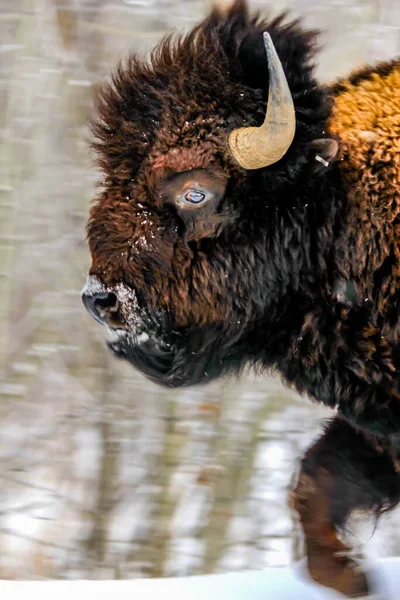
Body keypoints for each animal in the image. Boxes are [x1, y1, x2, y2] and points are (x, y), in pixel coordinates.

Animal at [81, 0, 400, 596]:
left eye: (195, 191)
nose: (102, 299)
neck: (337, 201)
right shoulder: (380, 425)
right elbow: (316, 483)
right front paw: (351, 578)